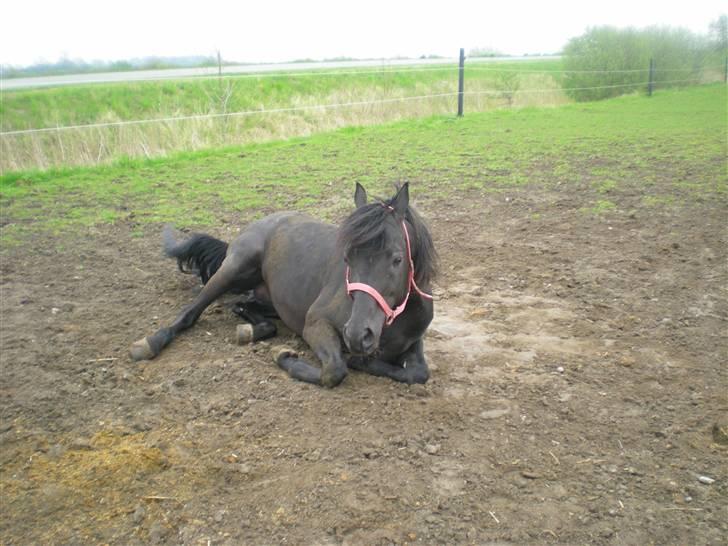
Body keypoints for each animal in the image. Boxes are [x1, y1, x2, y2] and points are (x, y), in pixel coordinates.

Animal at [129, 183, 438, 386]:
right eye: (348, 257)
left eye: (397, 259)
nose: (356, 334)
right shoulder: (315, 323)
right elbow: (333, 371)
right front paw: (285, 358)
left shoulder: (414, 341)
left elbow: (418, 373)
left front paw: (361, 359)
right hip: (233, 269)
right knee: (191, 311)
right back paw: (150, 343)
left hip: (269, 300)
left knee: (246, 308)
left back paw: (249, 330)